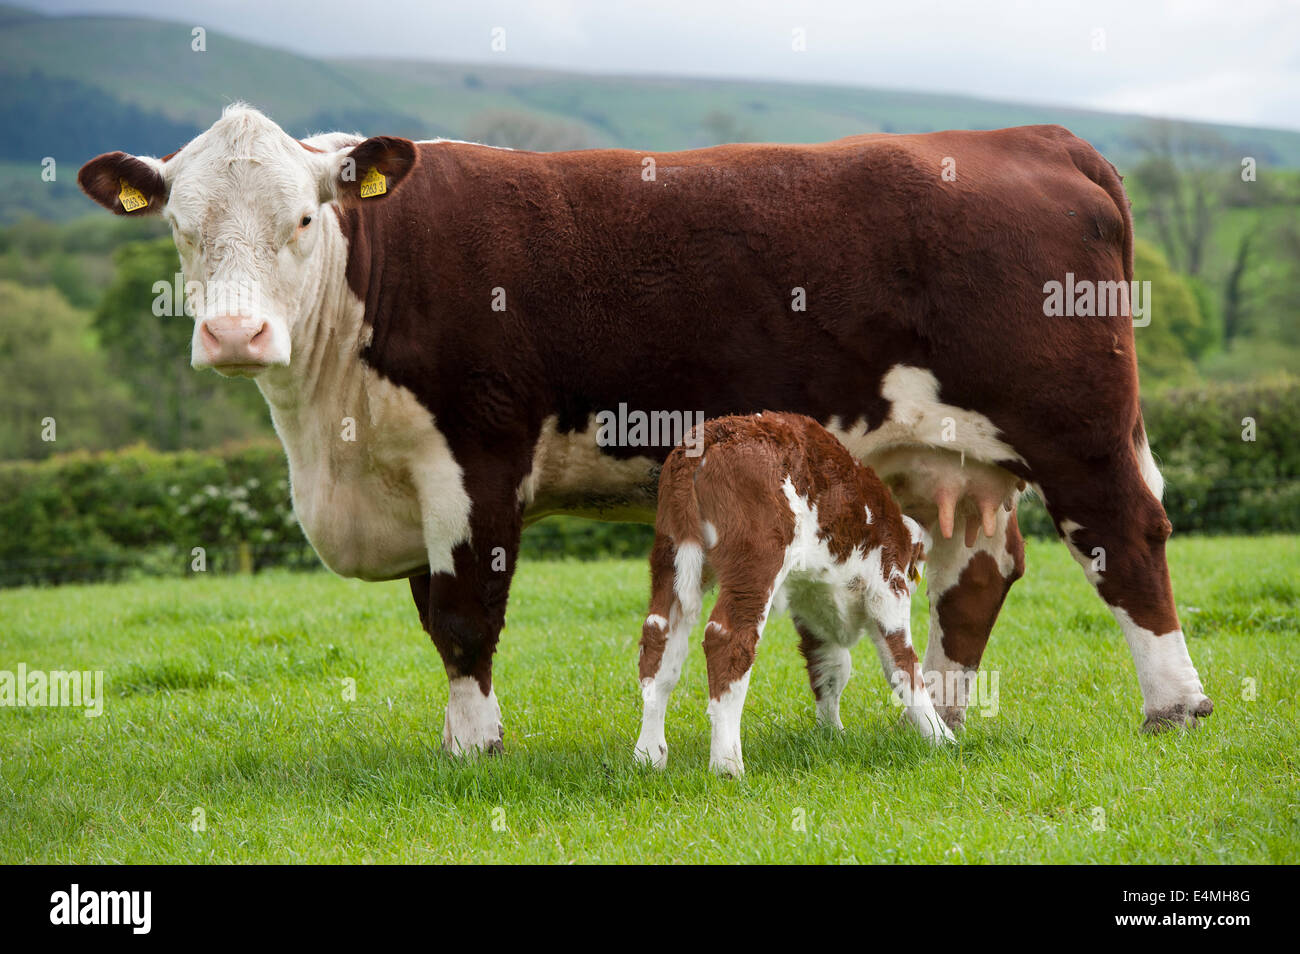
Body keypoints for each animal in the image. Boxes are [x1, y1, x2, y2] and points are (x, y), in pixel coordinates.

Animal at [637, 413, 956, 779]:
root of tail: (711, 435)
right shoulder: (887, 590)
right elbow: (904, 667)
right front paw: (941, 737)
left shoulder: (811, 603)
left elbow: (830, 666)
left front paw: (832, 734)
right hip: (755, 561)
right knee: (728, 640)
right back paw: (727, 765)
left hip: (670, 555)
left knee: (659, 638)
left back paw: (648, 756)